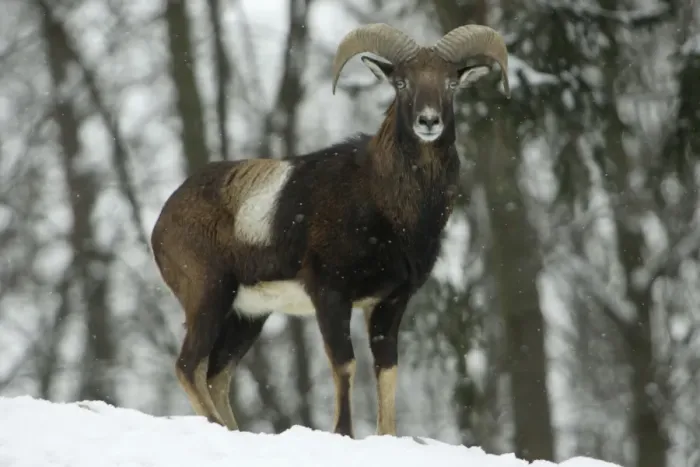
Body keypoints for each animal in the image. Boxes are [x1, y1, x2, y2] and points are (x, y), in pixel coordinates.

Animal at [150, 22, 510, 438]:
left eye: (451, 83)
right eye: (401, 83)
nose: (429, 121)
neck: (390, 207)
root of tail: (161, 222)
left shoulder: (389, 303)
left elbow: (386, 371)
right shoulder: (330, 296)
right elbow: (345, 364)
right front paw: (344, 432)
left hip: (248, 316)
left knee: (216, 375)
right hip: (210, 297)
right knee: (188, 365)